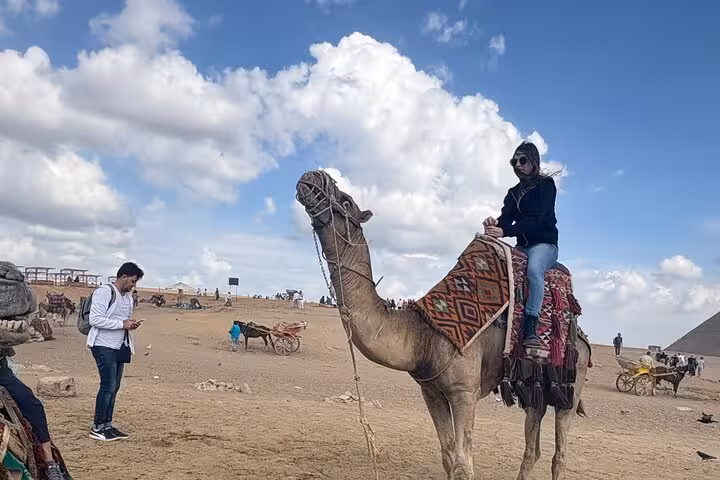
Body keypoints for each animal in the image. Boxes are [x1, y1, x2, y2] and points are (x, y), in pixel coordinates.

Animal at [296, 170, 591, 480]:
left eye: (346, 201)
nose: (313, 176)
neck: (423, 333)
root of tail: (582, 338)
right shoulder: (431, 390)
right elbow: (448, 457)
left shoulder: (464, 392)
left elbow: (463, 464)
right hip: (535, 386)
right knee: (532, 448)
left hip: (572, 383)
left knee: (560, 453)